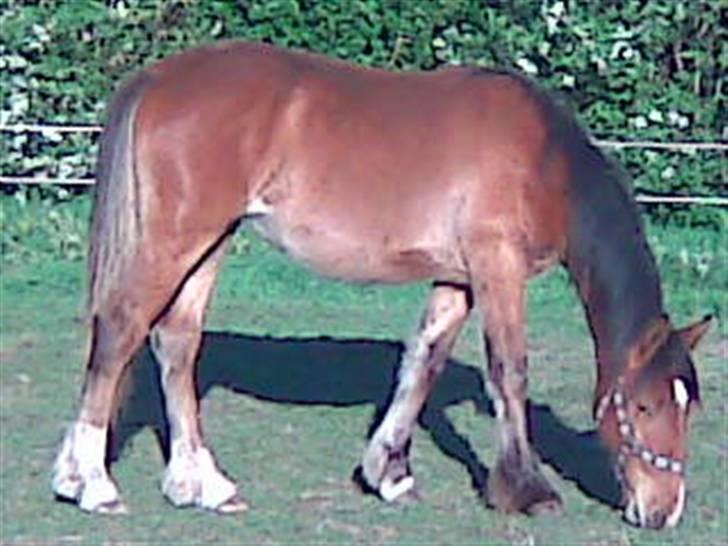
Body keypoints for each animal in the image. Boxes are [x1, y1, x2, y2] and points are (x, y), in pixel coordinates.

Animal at [51, 41, 712, 528]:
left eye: (690, 406)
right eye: (647, 405)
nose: (664, 511)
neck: (545, 161)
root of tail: (158, 77)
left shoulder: (457, 278)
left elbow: (422, 364)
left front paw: (389, 474)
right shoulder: (497, 268)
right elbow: (510, 372)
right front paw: (528, 490)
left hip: (210, 243)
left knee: (176, 344)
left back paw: (202, 485)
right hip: (178, 237)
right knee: (120, 330)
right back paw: (91, 484)